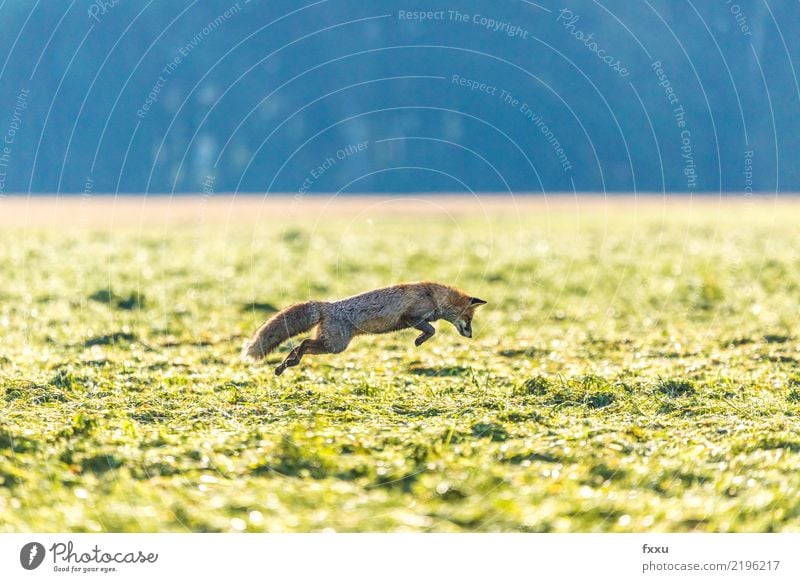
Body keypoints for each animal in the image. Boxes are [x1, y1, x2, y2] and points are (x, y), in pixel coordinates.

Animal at [241, 282, 484, 374]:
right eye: (469, 318)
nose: (471, 336)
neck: (434, 297)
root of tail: (327, 305)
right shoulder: (411, 316)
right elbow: (431, 330)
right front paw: (419, 341)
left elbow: (431, 330)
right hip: (335, 346)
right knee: (303, 343)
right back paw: (290, 363)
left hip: (332, 345)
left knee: (300, 345)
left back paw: (286, 364)